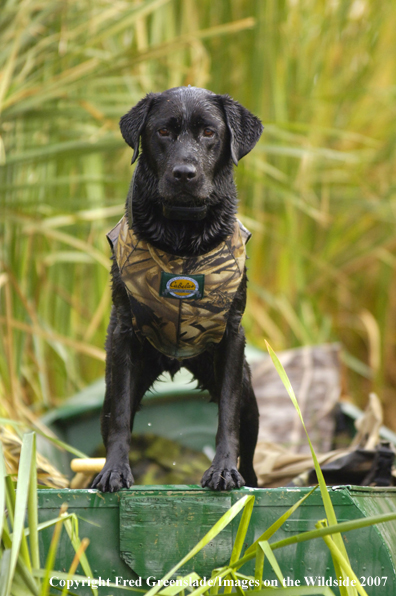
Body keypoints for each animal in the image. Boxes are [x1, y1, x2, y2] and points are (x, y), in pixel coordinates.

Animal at [92, 86, 262, 492]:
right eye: (163, 132)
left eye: (209, 133)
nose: (184, 173)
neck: (183, 236)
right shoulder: (122, 333)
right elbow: (120, 416)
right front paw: (115, 470)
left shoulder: (232, 336)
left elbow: (227, 416)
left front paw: (222, 469)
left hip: (249, 397)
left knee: (249, 457)